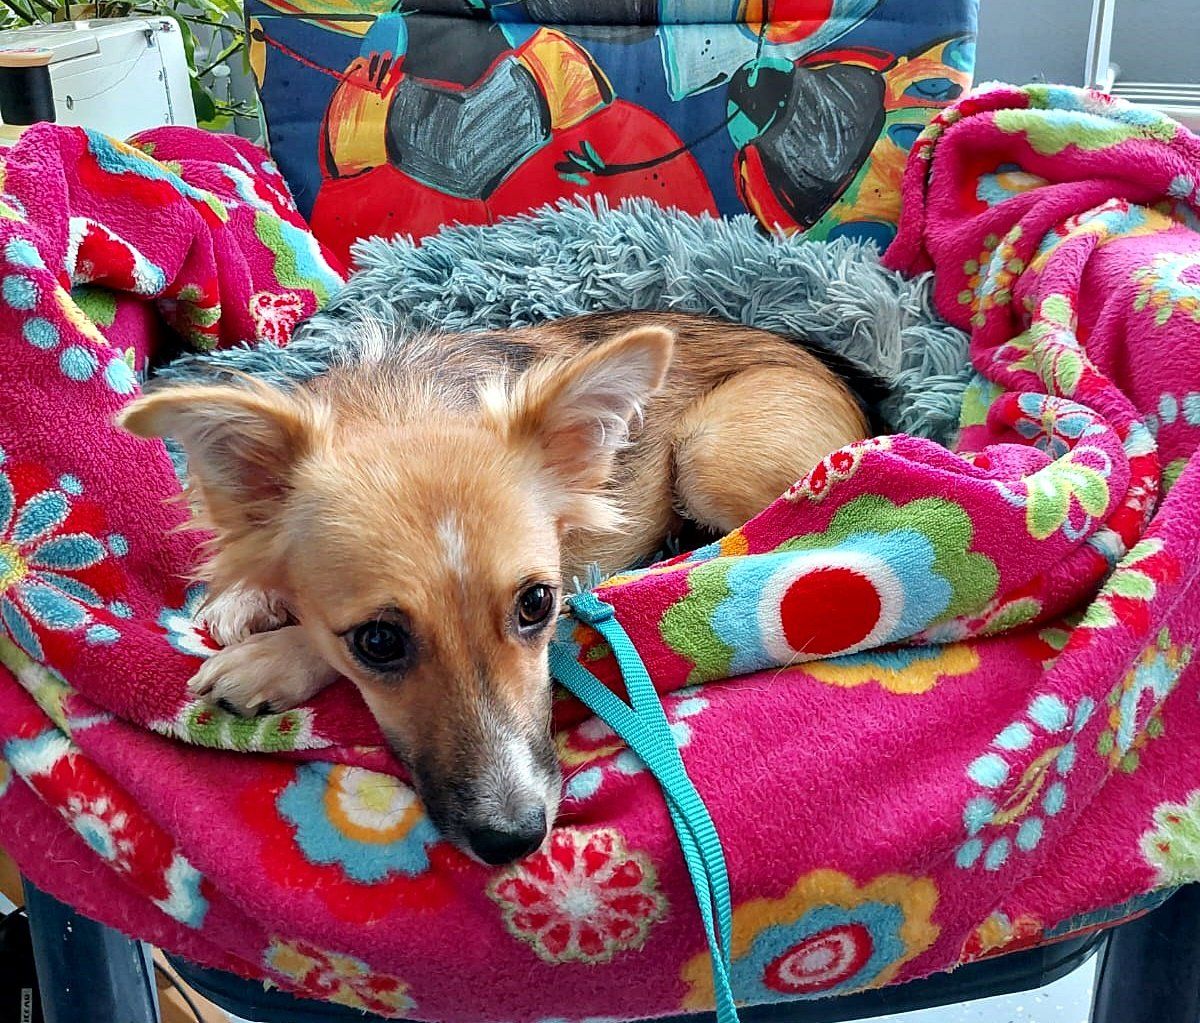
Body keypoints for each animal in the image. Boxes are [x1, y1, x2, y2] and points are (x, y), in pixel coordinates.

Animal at [118, 312, 870, 864]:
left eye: (539, 603)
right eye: (378, 641)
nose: (514, 840)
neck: (405, 408)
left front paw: (275, 656)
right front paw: (250, 593)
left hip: (709, 455)